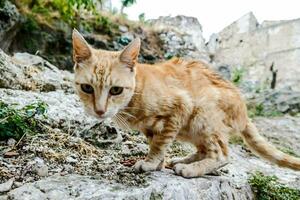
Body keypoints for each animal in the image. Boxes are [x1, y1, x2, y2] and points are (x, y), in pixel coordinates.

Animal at [72, 30, 300, 178]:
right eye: (87, 88)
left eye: (116, 90)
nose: (99, 110)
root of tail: (244, 112)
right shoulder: (151, 128)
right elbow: (157, 143)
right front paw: (158, 163)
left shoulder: (180, 107)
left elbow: (159, 144)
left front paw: (150, 163)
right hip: (193, 129)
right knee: (205, 150)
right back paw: (183, 160)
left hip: (203, 116)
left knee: (222, 154)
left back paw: (191, 169)